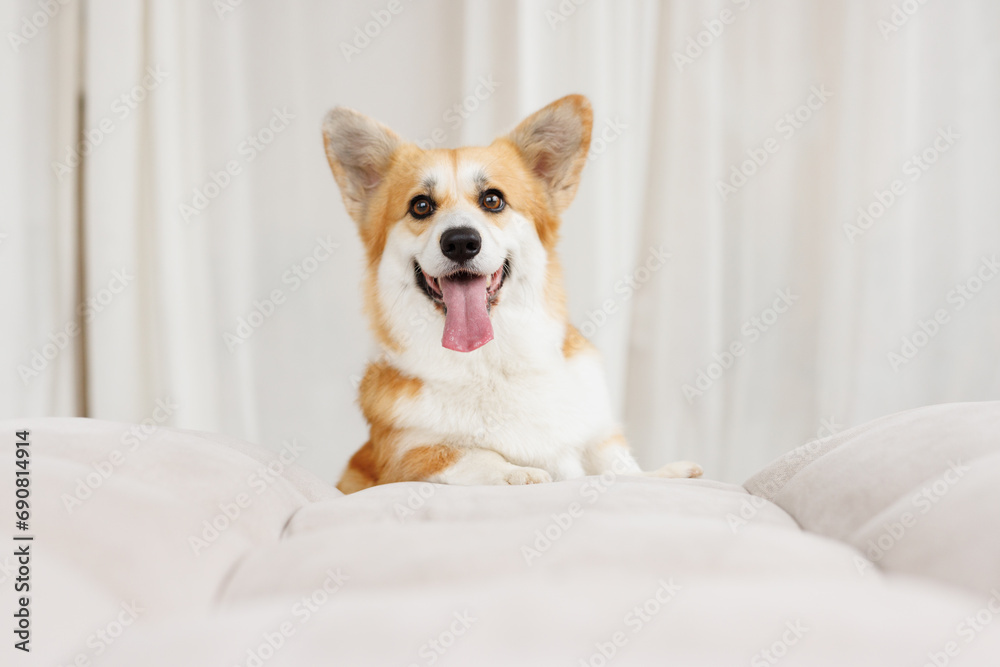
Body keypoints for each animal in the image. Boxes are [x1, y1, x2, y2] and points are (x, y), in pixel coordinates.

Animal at [324, 94, 700, 494]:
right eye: (420, 205)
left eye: (493, 200)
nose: (460, 242)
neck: (491, 360)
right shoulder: (399, 459)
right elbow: (461, 453)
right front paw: (518, 472)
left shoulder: (597, 437)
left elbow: (619, 467)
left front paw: (663, 474)